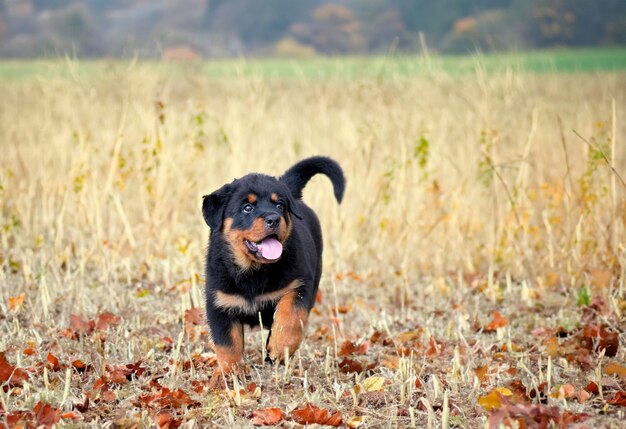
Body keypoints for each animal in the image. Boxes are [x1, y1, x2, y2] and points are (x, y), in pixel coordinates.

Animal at [201, 156, 344, 374]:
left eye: (279, 206)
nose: (274, 219)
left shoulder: (299, 285)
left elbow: (290, 316)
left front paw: (280, 346)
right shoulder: (219, 303)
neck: (253, 271)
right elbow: (227, 345)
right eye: (247, 207)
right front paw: (227, 374)